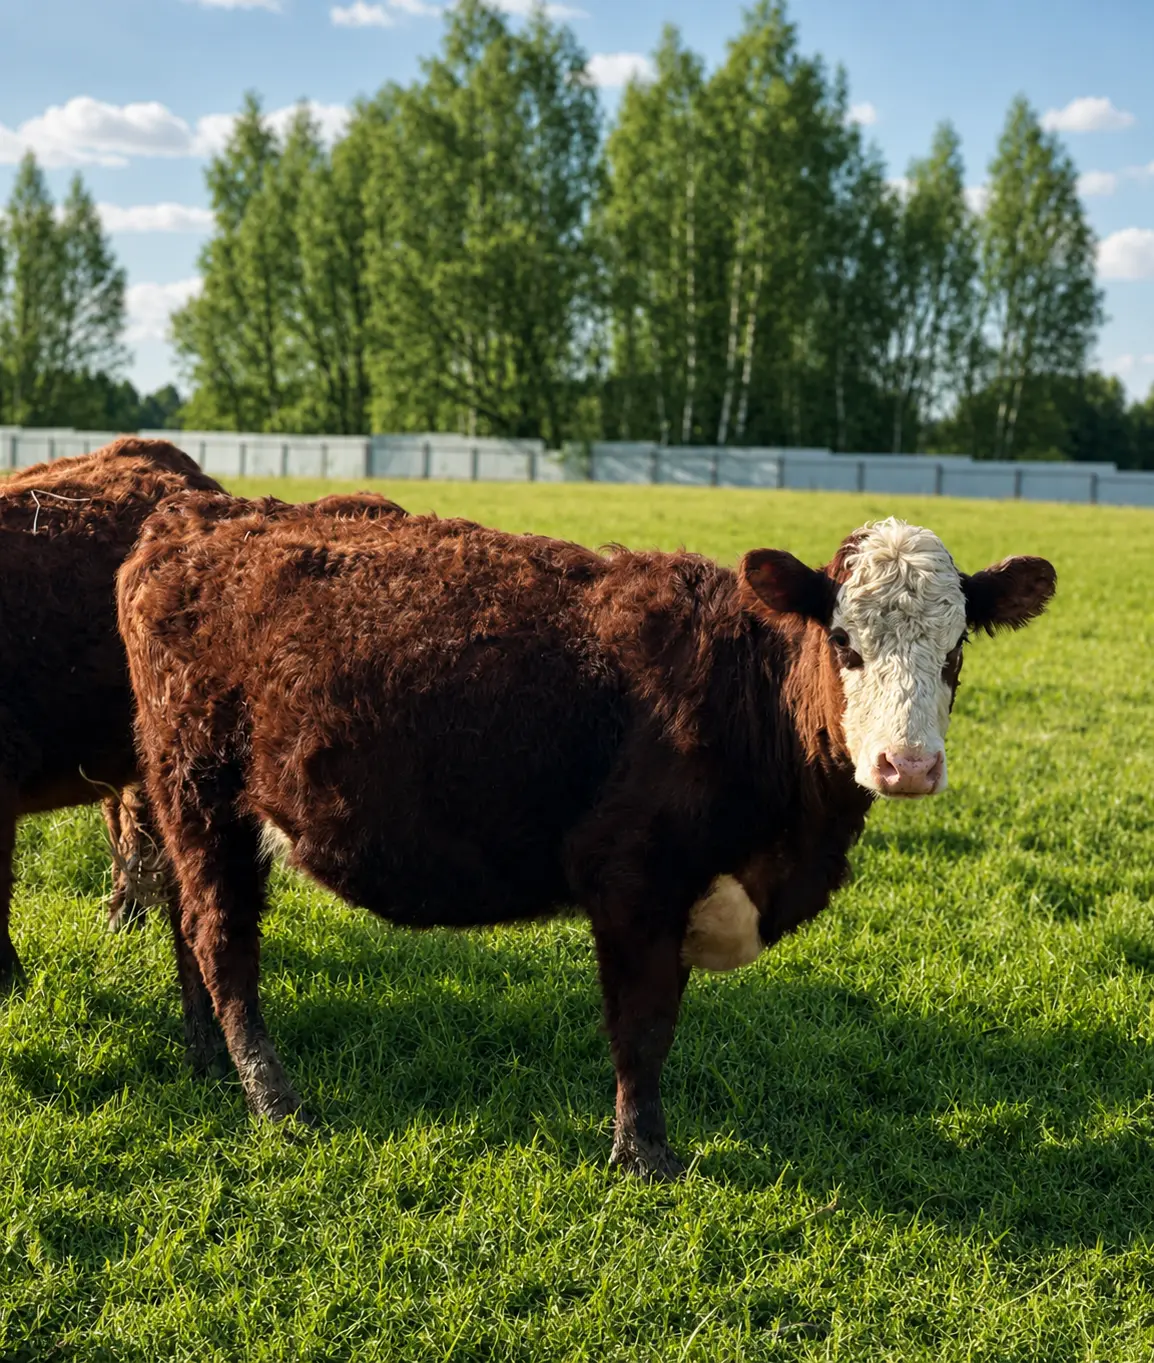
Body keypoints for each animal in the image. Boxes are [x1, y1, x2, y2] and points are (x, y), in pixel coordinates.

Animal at [118, 499, 1056, 1178]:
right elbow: (642, 1027)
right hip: (202, 792)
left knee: (184, 922)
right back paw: (275, 1098)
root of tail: (198, 519)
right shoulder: (635, 885)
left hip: (187, 807)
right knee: (222, 938)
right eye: (845, 642)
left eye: (955, 649)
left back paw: (207, 1057)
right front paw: (643, 1153)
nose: (908, 764)